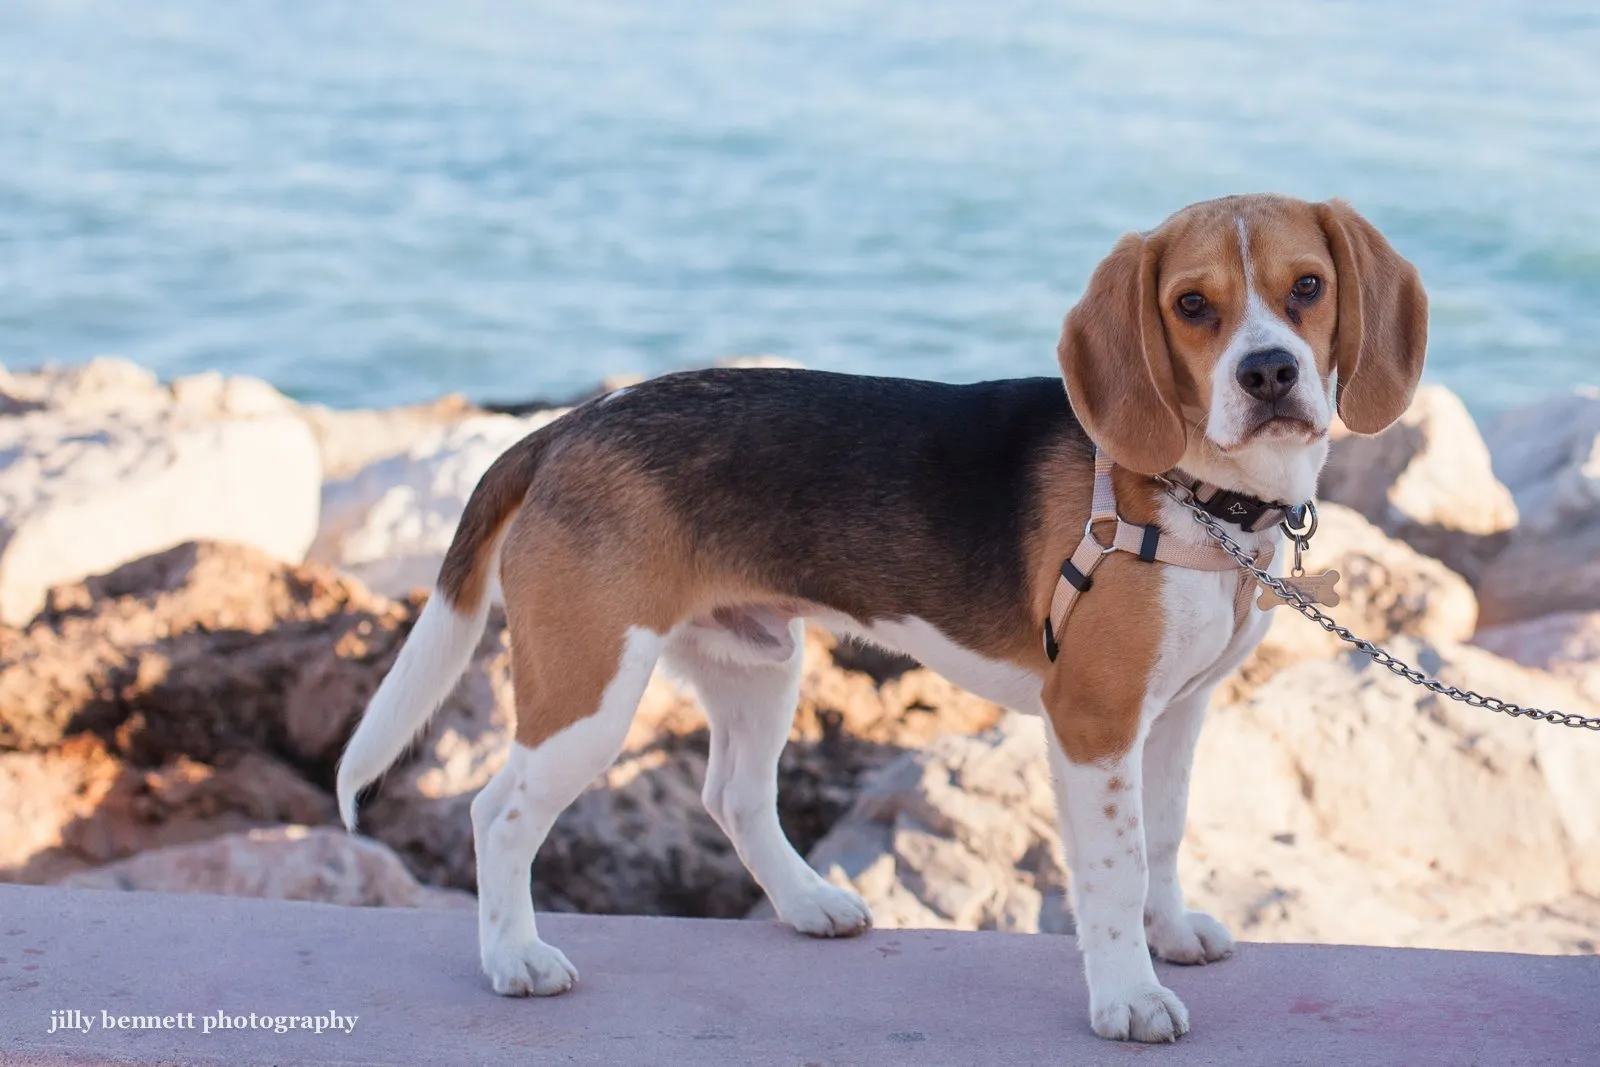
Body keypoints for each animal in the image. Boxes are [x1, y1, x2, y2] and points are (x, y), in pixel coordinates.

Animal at [334, 191, 1427, 1043]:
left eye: (1306, 288)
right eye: (1192, 306)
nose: (1267, 372)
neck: (1197, 493)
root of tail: (564, 425)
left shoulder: (1176, 713)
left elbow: (1161, 837)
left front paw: (1169, 936)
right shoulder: (1093, 720)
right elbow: (1114, 869)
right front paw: (1128, 994)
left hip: (756, 659)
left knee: (734, 795)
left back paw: (808, 902)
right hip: (588, 688)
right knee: (498, 810)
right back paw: (514, 957)